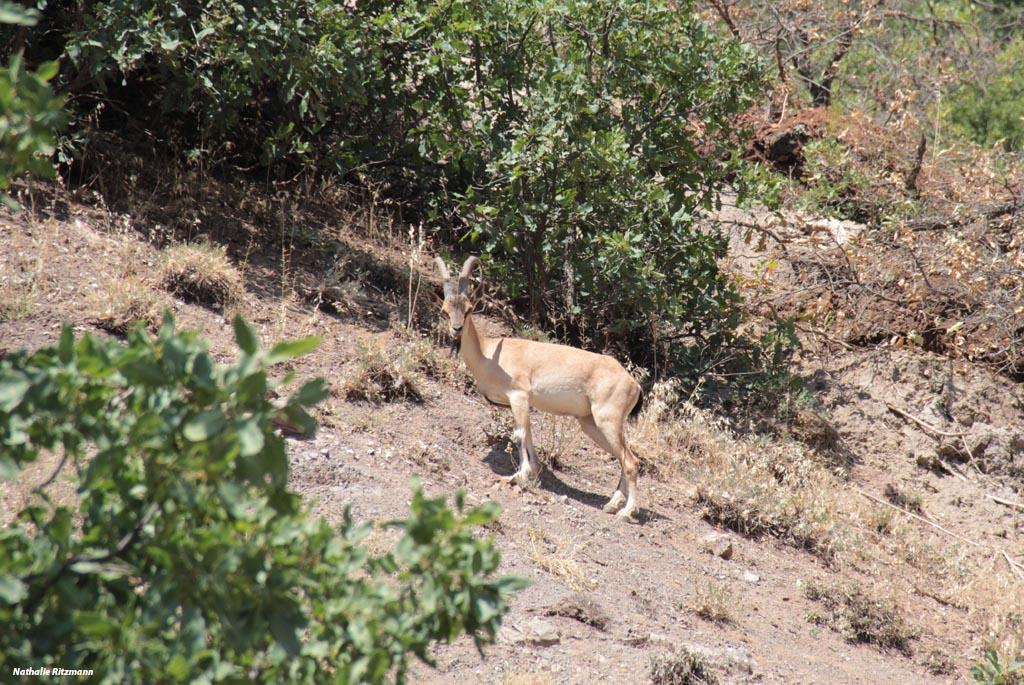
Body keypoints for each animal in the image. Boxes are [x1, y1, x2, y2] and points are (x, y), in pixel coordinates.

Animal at [438, 254, 638, 518]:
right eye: (445, 310)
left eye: (470, 309)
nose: (456, 329)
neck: (489, 354)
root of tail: (634, 384)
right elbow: (527, 434)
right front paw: (531, 473)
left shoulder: (519, 396)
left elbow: (521, 434)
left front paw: (519, 475)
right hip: (591, 424)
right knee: (622, 457)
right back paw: (612, 504)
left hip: (608, 420)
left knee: (631, 461)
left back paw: (626, 512)